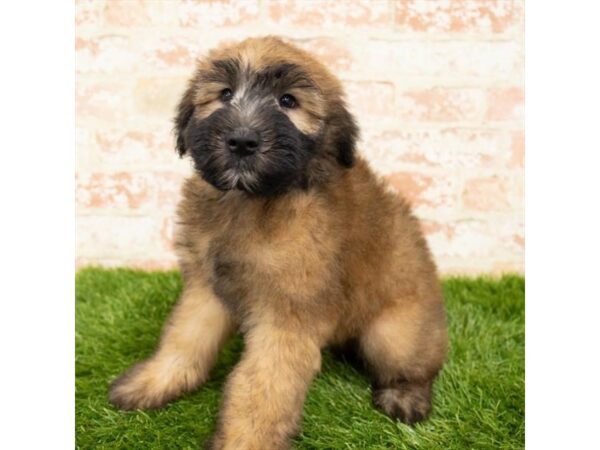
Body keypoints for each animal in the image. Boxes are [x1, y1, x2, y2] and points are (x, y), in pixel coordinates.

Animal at [109, 36, 446, 450]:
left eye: (288, 101)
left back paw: (405, 395)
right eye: (224, 94)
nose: (242, 141)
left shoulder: (287, 316)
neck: (253, 202)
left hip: (395, 333)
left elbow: (262, 389)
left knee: (416, 364)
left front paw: (243, 441)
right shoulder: (205, 288)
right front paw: (154, 381)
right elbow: (184, 339)